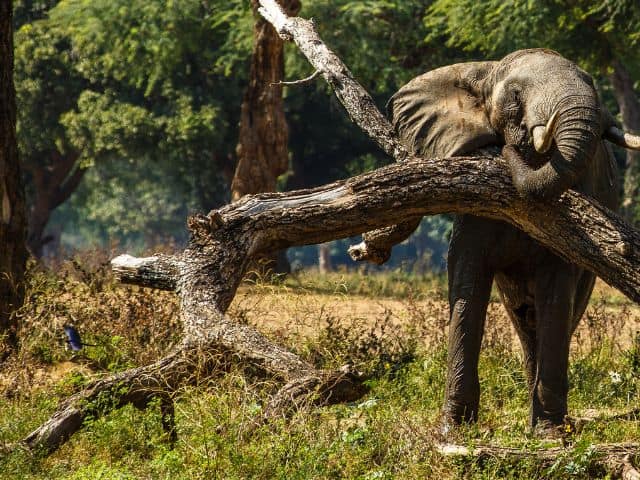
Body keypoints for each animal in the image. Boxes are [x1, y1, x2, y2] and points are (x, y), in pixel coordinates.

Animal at [388, 48, 640, 436]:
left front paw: (549, 434)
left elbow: (558, 285)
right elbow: (467, 277)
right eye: (517, 95)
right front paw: (453, 428)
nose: (506, 151)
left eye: (592, 83)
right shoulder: (475, 210)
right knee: (522, 317)